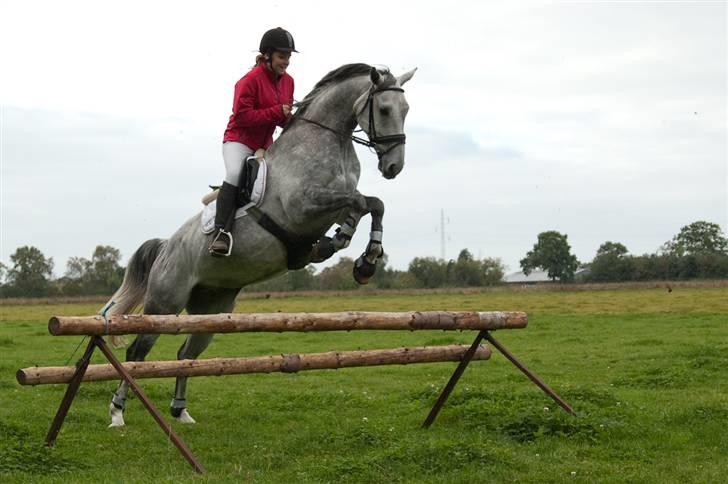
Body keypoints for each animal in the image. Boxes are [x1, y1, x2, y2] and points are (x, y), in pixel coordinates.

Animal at [101, 64, 416, 428]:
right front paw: (358, 255)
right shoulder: (304, 207)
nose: (393, 167)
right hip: (164, 304)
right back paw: (117, 412)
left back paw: (180, 411)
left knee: (186, 354)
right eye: (384, 110)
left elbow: (370, 204)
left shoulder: (333, 204)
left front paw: (361, 257)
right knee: (137, 353)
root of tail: (166, 247)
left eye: (406, 110)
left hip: (213, 308)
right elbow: (362, 201)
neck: (330, 142)